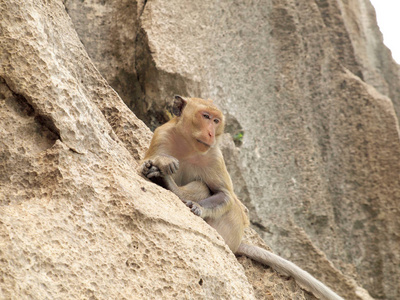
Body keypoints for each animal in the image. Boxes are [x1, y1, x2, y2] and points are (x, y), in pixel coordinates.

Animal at [141, 95, 344, 300]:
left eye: (216, 120)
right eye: (205, 116)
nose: (211, 133)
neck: (188, 145)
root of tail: (236, 243)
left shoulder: (214, 155)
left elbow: (224, 195)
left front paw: (198, 206)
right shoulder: (162, 135)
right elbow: (144, 163)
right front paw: (163, 161)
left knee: (210, 192)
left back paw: (171, 187)